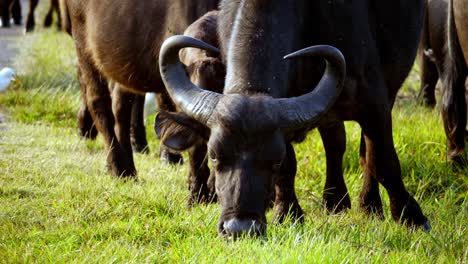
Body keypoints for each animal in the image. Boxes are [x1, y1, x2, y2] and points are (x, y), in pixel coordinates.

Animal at [159, 0, 430, 237]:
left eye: (273, 159)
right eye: (214, 156)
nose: (240, 228)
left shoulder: (374, 104)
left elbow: (383, 160)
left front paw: (411, 217)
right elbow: (291, 166)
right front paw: (287, 213)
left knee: (365, 152)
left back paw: (369, 205)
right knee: (335, 143)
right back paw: (335, 201)